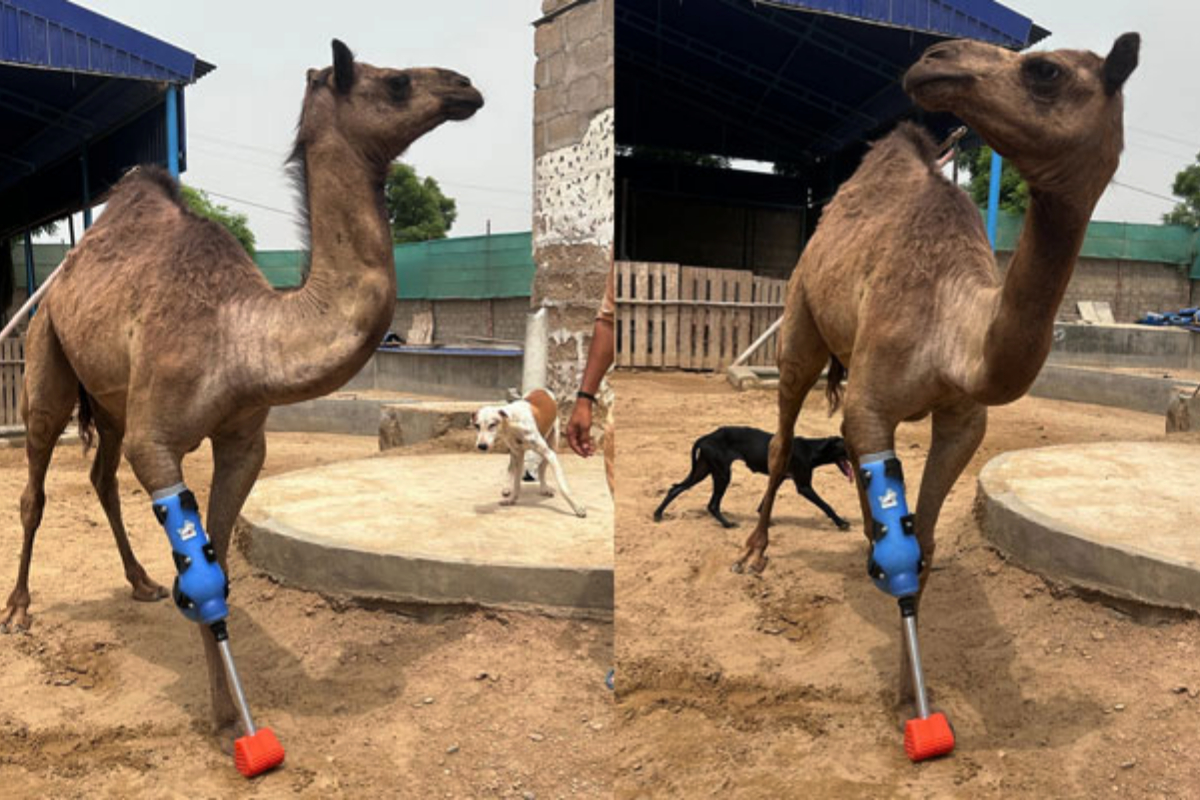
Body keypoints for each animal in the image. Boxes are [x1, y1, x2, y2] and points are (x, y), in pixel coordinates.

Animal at [0, 40, 482, 743]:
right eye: (395, 82)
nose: (465, 85)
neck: (242, 336)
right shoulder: (158, 441)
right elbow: (200, 573)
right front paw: (228, 719)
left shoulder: (243, 442)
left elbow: (219, 565)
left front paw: (227, 709)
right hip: (46, 352)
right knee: (35, 483)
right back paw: (18, 610)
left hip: (112, 396)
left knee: (100, 476)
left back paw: (141, 582)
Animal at [738, 33, 1138, 686]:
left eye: (1044, 71)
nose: (934, 58)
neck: (955, 337)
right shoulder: (875, 397)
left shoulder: (963, 421)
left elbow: (920, 543)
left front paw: (909, 683)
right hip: (800, 316)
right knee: (781, 437)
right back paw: (753, 551)